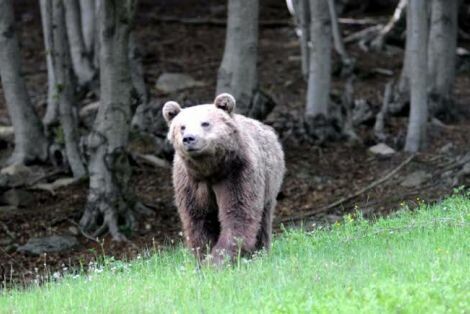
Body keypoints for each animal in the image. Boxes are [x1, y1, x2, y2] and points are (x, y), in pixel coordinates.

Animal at [162, 93, 286, 264]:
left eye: (205, 123)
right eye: (182, 127)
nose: (189, 138)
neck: (210, 170)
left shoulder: (237, 173)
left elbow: (238, 213)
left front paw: (217, 260)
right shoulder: (191, 182)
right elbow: (199, 219)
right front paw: (203, 256)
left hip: (270, 181)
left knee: (264, 218)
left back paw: (260, 253)